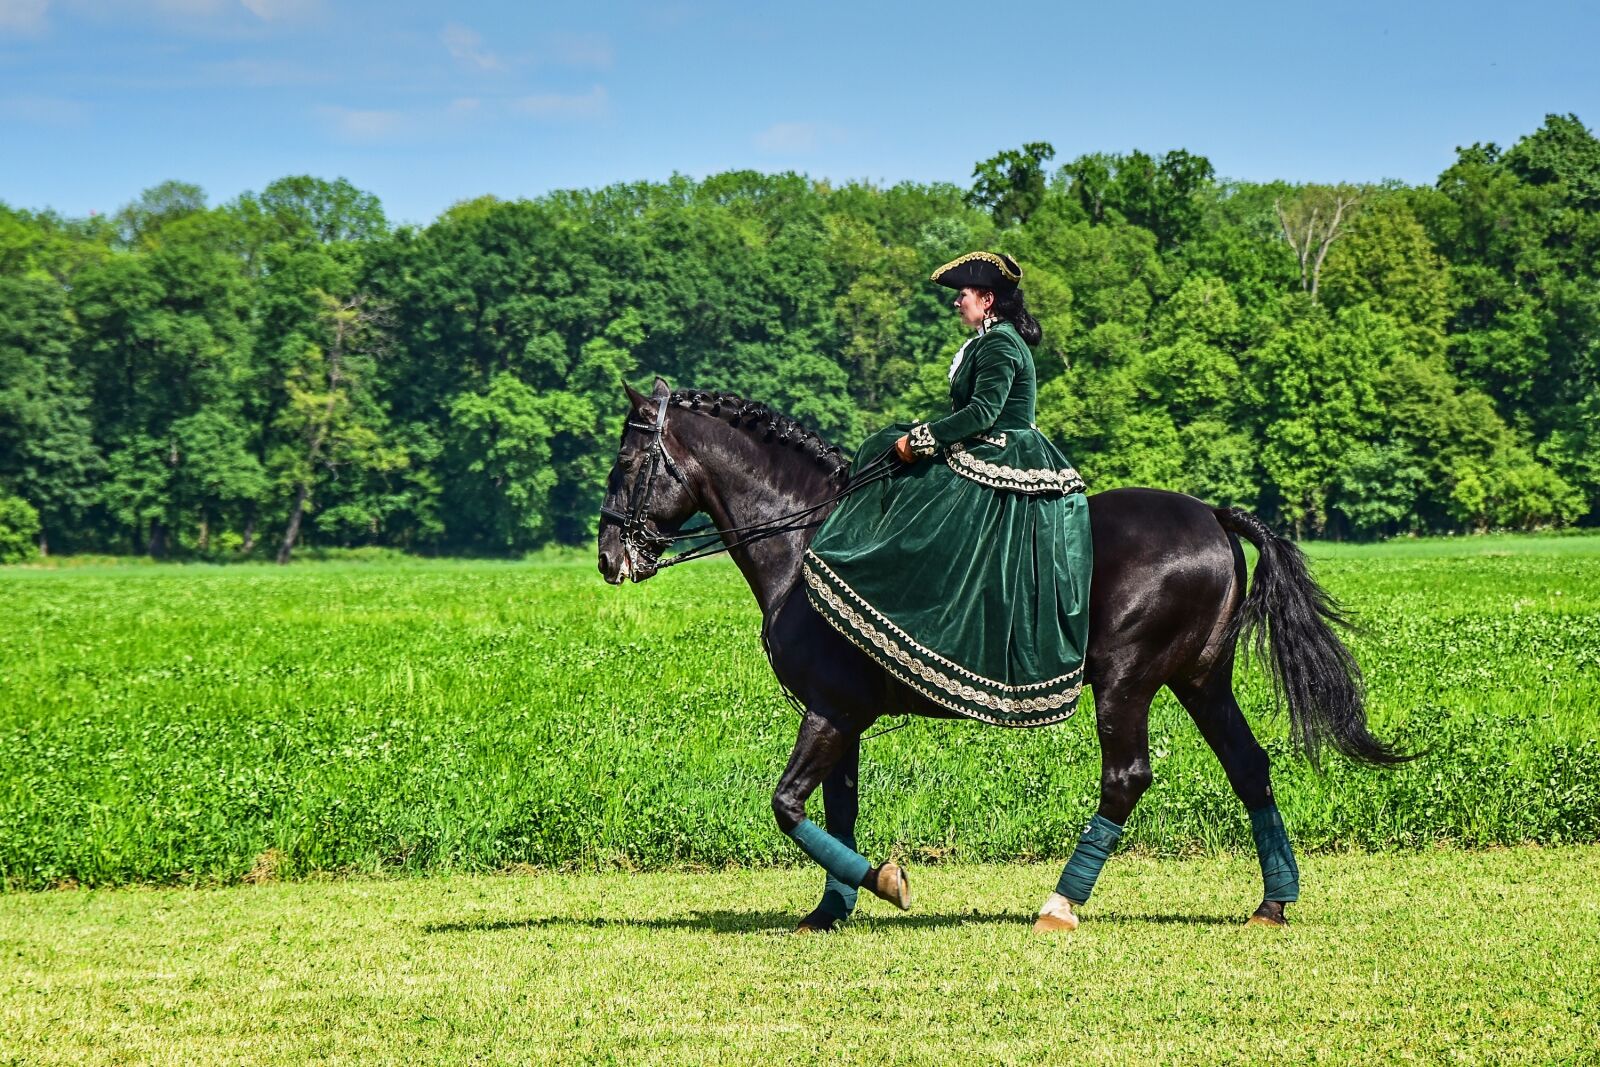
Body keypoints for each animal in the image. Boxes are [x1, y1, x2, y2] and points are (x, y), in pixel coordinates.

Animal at [597, 378, 1404, 933]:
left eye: (628, 459)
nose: (609, 558)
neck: (806, 540)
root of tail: (1209, 513)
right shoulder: (844, 716)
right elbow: (835, 807)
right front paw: (832, 909)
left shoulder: (829, 710)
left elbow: (788, 805)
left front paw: (887, 884)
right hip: (1201, 680)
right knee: (1248, 766)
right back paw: (1273, 901)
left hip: (1127, 683)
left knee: (1126, 779)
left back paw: (1060, 904)